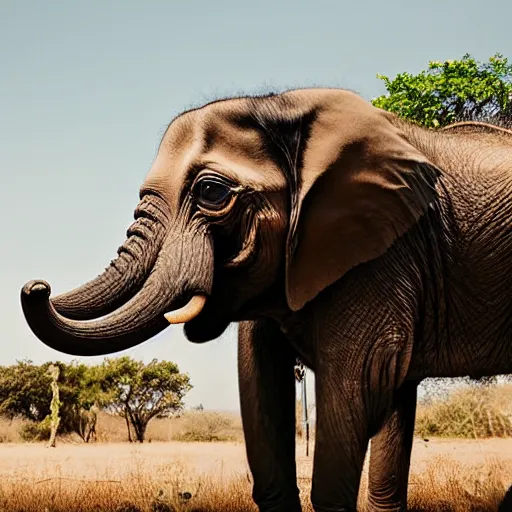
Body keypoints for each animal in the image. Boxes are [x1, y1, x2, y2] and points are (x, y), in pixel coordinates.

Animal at [21, 89, 512, 512]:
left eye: (212, 192)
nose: (36, 287)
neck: (283, 106)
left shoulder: (383, 253)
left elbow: (360, 380)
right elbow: (260, 380)